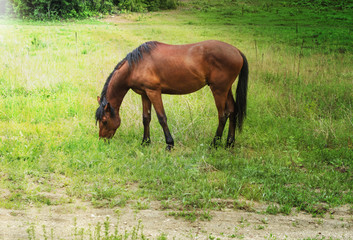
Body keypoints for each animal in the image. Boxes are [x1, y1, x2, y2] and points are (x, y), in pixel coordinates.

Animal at [95, 40, 246, 150]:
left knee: (223, 115)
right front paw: (145, 142)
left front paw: (169, 144)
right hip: (226, 89)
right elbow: (146, 118)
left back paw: (214, 143)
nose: (102, 140)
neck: (135, 66)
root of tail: (236, 51)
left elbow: (162, 118)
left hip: (218, 90)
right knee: (232, 111)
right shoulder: (145, 94)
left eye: (104, 121)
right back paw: (229, 143)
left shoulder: (154, 92)